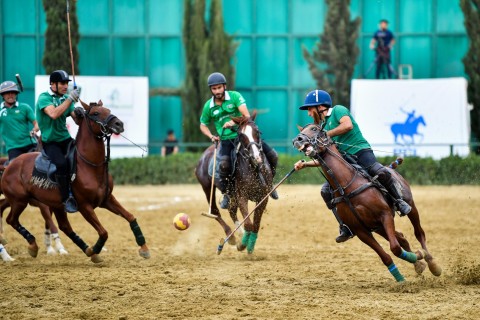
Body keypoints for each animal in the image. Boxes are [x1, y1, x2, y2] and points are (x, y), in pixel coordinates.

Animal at [0, 100, 149, 262]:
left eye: (108, 110)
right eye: (96, 113)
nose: (119, 124)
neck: (90, 165)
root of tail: (9, 165)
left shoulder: (107, 199)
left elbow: (130, 217)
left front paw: (144, 248)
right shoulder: (84, 206)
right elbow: (104, 232)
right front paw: (96, 249)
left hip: (55, 205)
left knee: (64, 227)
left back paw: (84, 249)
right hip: (19, 200)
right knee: (11, 220)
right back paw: (32, 245)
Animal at [195, 111, 274, 254]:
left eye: (257, 131)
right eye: (241, 135)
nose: (257, 157)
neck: (253, 168)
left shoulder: (263, 197)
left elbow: (256, 224)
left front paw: (250, 245)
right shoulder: (242, 196)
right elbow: (248, 223)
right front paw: (242, 244)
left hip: (231, 194)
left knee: (231, 210)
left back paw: (239, 234)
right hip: (207, 187)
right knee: (215, 211)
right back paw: (231, 236)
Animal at [290, 124, 440, 282]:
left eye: (314, 128)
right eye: (302, 130)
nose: (297, 140)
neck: (346, 186)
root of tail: (389, 167)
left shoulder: (385, 215)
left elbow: (395, 248)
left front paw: (418, 256)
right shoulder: (361, 230)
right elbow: (386, 256)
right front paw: (404, 277)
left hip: (410, 206)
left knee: (419, 233)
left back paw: (432, 263)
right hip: (377, 227)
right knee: (402, 238)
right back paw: (419, 264)